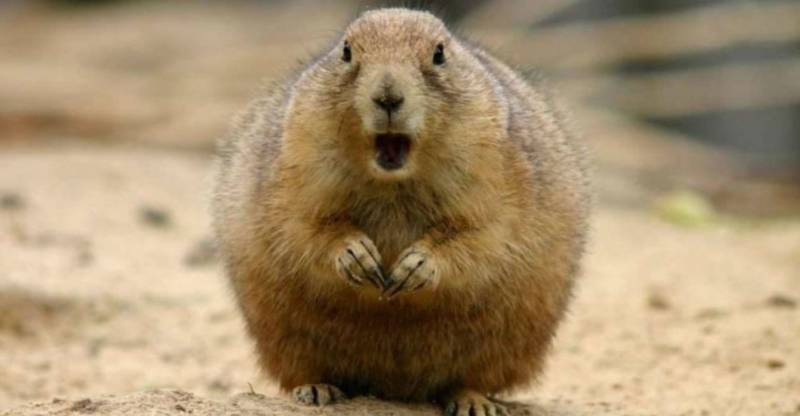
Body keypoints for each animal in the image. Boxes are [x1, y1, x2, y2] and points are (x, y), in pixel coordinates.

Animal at [212, 8, 590, 416]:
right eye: (346, 51)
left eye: (439, 54)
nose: (388, 96)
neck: (393, 182)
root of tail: (395, 389)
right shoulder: (293, 165)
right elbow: (302, 223)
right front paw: (357, 256)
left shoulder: (497, 177)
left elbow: (481, 234)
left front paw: (415, 267)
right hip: (282, 336)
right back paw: (316, 389)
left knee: (472, 378)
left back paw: (473, 400)